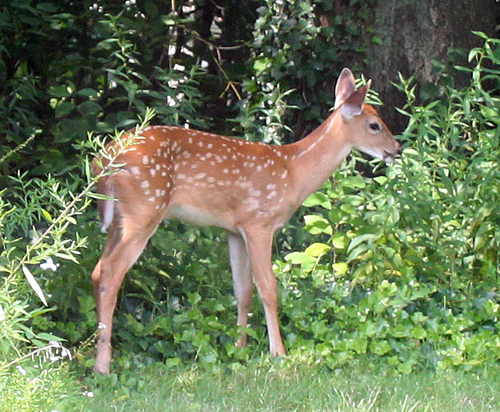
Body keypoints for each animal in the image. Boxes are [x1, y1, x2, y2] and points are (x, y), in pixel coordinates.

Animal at [91, 67, 402, 374]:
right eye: (374, 125)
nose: (397, 149)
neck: (293, 171)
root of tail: (101, 162)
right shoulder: (259, 223)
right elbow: (268, 287)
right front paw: (278, 353)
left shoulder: (233, 230)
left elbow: (243, 290)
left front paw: (239, 347)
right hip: (145, 208)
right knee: (110, 271)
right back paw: (102, 365)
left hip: (119, 219)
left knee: (97, 270)